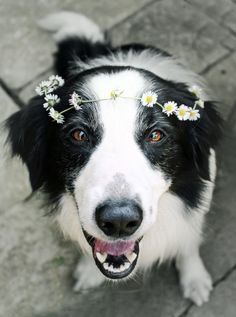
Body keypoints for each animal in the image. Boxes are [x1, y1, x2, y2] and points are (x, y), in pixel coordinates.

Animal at [5, 11, 222, 304]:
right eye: (78, 134)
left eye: (156, 135)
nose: (119, 221)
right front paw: (89, 271)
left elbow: (187, 242)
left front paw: (195, 279)